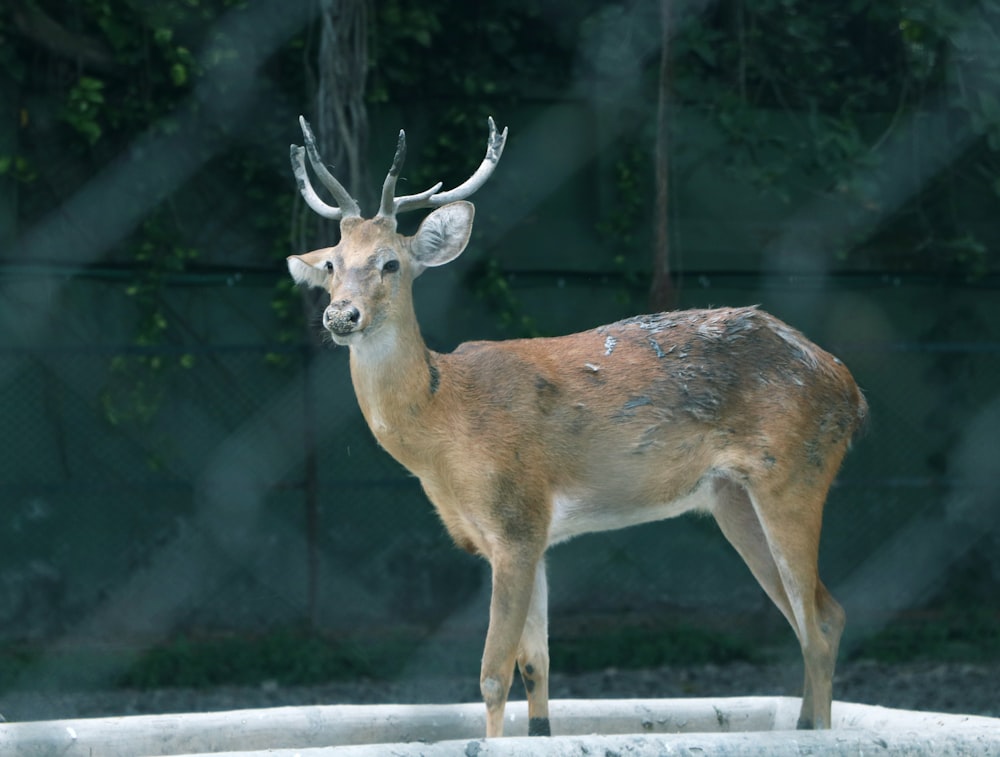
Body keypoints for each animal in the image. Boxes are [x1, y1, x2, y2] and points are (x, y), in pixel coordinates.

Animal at [284, 115, 868, 736]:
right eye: (331, 263)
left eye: (390, 262)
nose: (340, 314)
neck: (445, 424)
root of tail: (850, 390)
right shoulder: (523, 537)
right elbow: (535, 668)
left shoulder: (517, 519)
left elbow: (492, 676)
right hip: (733, 498)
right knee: (818, 616)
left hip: (794, 475)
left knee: (818, 624)